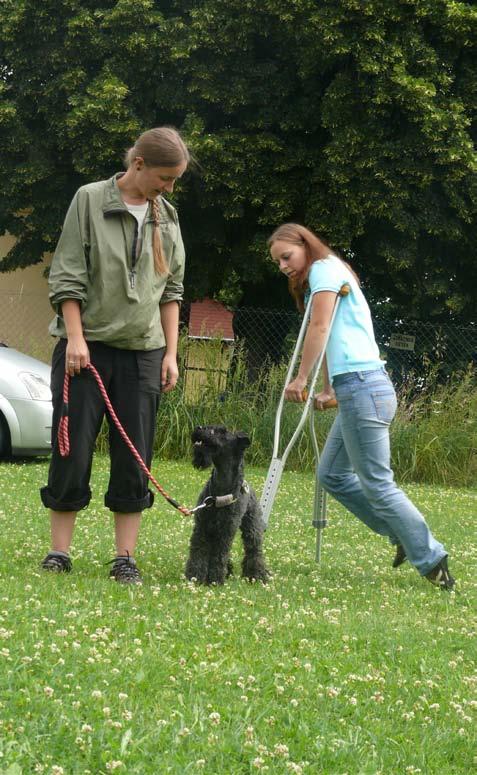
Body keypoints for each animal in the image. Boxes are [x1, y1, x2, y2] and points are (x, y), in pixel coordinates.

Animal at [185, 428, 270, 584]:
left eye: (222, 432)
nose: (198, 428)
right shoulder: (202, 527)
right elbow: (198, 551)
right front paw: (194, 576)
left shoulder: (226, 529)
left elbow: (219, 555)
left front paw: (215, 579)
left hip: (252, 528)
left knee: (254, 551)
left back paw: (257, 575)